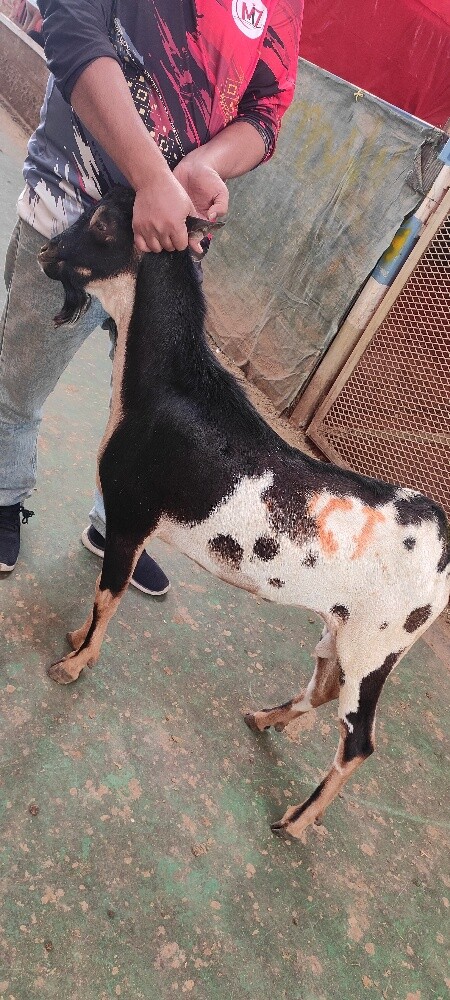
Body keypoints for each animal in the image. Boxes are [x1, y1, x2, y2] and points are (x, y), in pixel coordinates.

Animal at [38, 186, 450, 839]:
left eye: (102, 223)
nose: (46, 253)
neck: (170, 388)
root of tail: (439, 540)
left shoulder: (131, 513)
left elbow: (109, 594)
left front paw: (74, 664)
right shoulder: (133, 524)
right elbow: (106, 594)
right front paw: (78, 640)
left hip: (376, 644)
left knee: (358, 741)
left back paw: (297, 823)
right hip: (347, 630)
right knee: (324, 687)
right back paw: (264, 720)